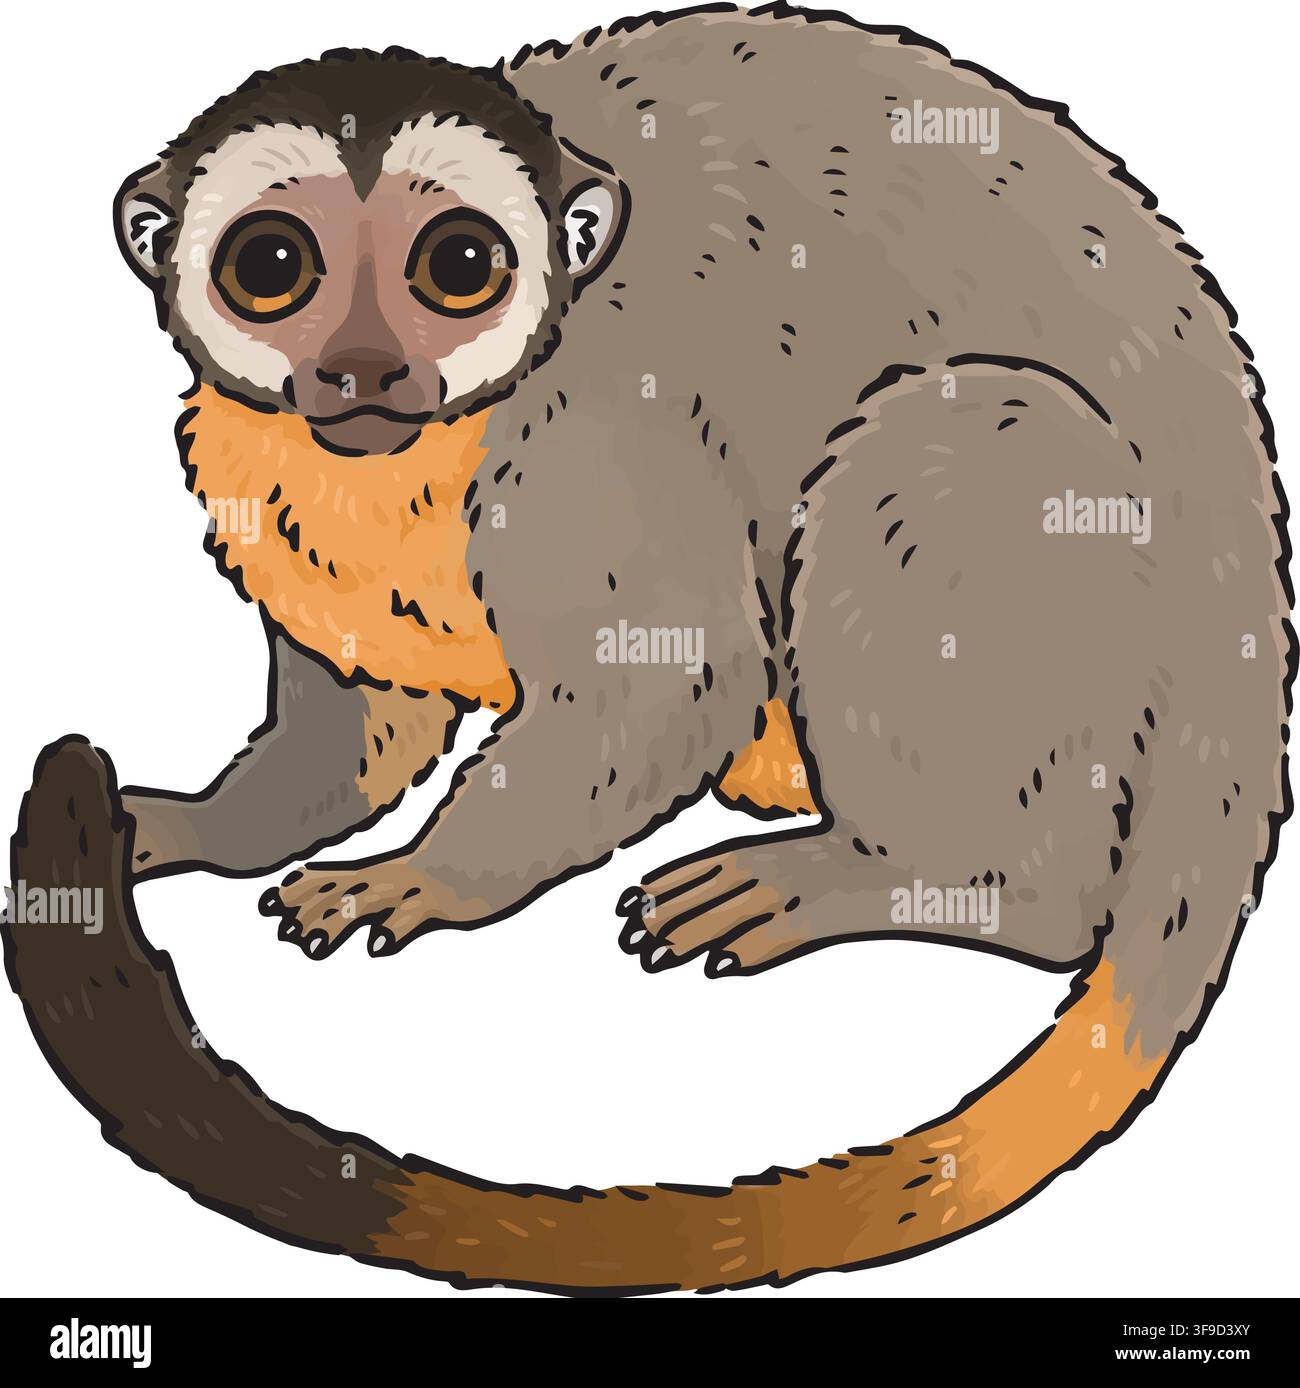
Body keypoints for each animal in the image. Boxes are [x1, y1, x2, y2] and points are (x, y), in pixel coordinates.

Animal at [3, 3, 1290, 1296]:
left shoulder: (590, 431)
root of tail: (1246, 638)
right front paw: (193, 824)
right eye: (271, 266)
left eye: (457, 265)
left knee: (956, 435)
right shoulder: (257, 465)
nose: (364, 368)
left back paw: (911, 879)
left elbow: (674, 674)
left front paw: (424, 874)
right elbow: (369, 717)